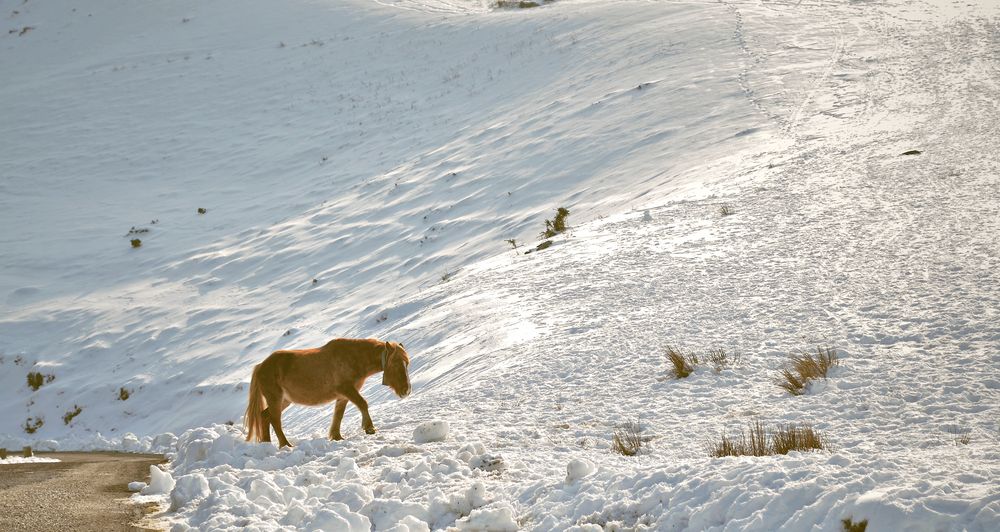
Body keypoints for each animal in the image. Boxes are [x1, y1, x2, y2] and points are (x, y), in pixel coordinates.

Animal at [244, 338, 412, 446]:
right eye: (396, 363)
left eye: (407, 363)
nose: (406, 390)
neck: (354, 358)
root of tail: (260, 366)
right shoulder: (347, 390)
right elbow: (363, 404)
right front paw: (369, 428)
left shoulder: (343, 396)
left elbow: (338, 415)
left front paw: (337, 437)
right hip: (276, 399)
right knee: (275, 420)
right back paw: (286, 445)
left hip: (285, 400)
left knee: (264, 416)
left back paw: (266, 443)